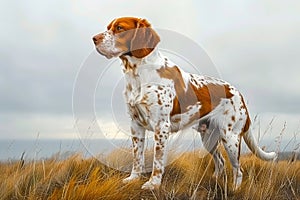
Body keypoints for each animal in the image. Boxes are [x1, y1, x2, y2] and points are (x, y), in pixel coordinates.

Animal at [92, 16, 278, 189]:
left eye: (120, 28)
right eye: (108, 27)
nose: (94, 38)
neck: (138, 74)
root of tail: (238, 93)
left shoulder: (161, 126)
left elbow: (157, 161)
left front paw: (153, 184)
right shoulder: (136, 124)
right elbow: (137, 156)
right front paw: (133, 178)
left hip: (230, 137)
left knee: (238, 169)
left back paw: (234, 189)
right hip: (209, 138)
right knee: (221, 162)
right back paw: (214, 180)